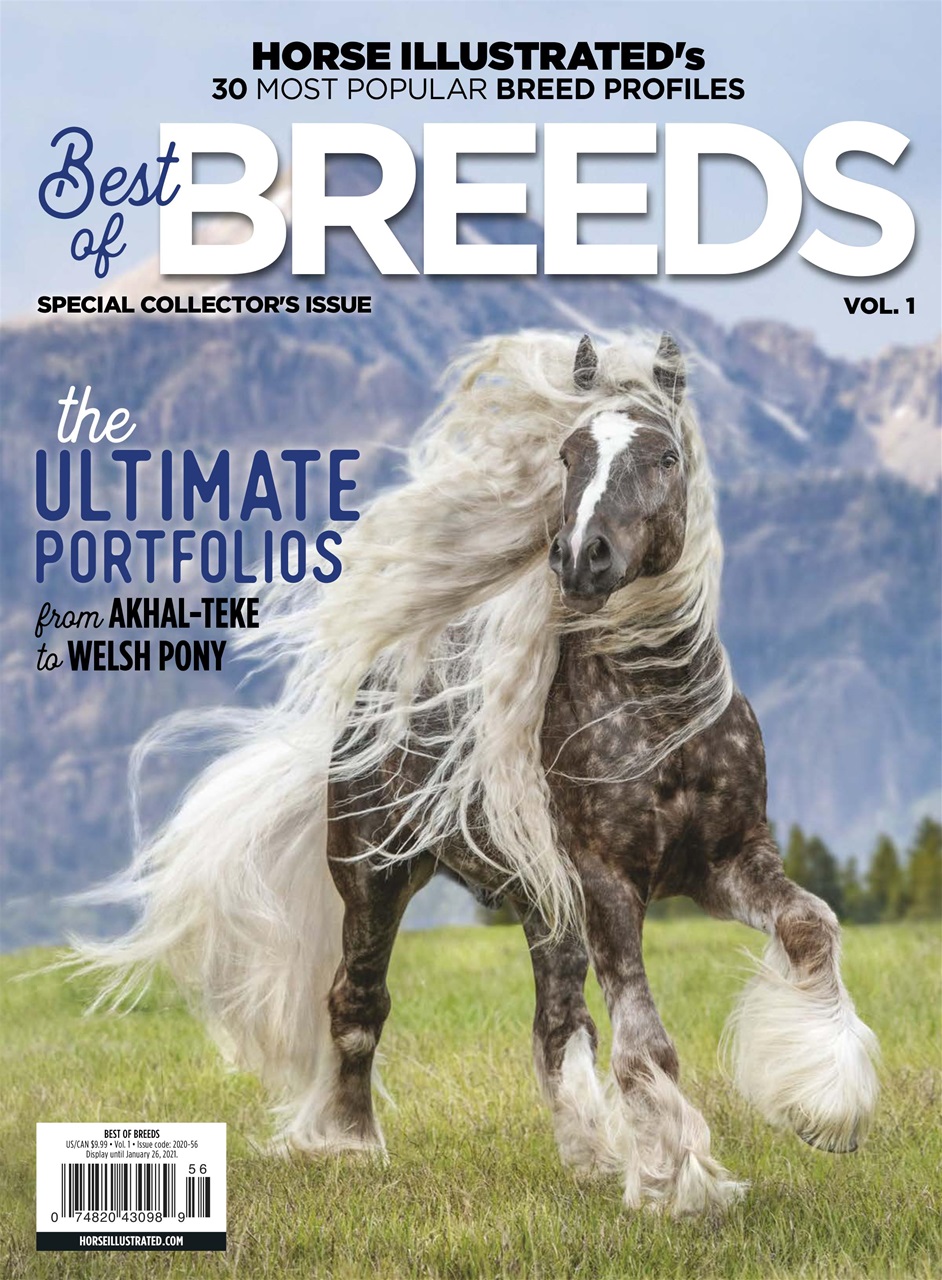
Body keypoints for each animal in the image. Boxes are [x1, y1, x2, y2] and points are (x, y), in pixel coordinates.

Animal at [77, 330, 879, 1217]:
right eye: (568, 453)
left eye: (665, 454)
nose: (582, 557)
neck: (657, 707)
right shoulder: (609, 882)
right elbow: (648, 1042)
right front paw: (677, 1181)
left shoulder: (727, 860)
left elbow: (809, 928)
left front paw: (825, 1110)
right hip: (378, 879)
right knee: (357, 1003)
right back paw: (348, 1144)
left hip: (543, 908)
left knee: (556, 1025)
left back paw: (592, 1156)